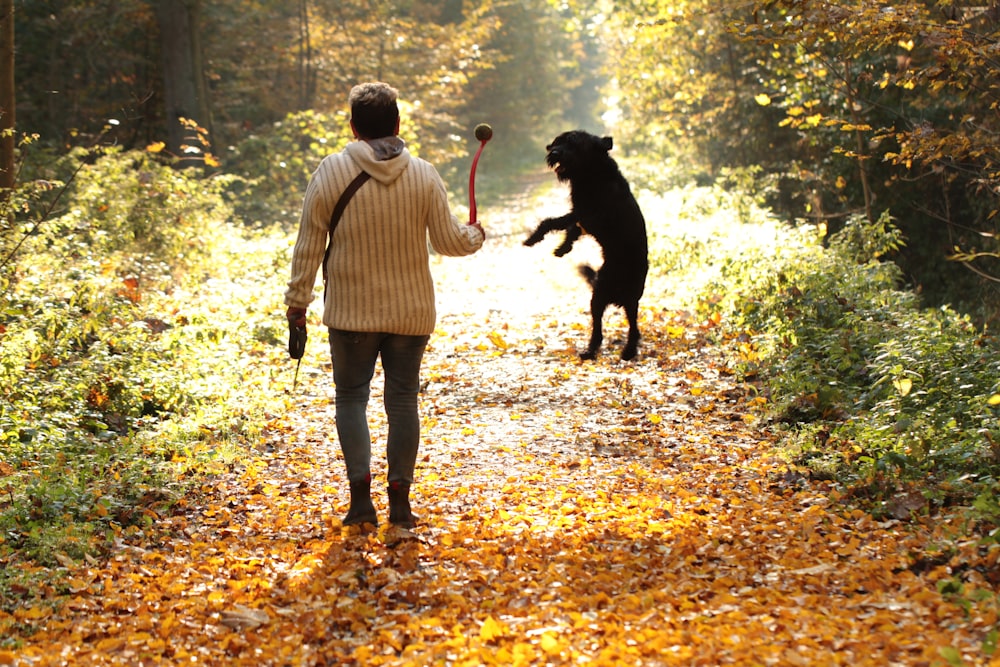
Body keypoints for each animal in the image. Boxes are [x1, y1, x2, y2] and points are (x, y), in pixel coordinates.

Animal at [524, 130, 648, 360]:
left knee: (634, 328)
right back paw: (591, 351)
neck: (592, 173)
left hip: (628, 299)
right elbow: (570, 228)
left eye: (573, 143)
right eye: (558, 141)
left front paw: (534, 237)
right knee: (599, 329)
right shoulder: (583, 217)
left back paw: (628, 351)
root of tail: (615, 293)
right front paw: (563, 248)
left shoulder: (587, 215)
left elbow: (554, 222)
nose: (554, 152)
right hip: (598, 298)